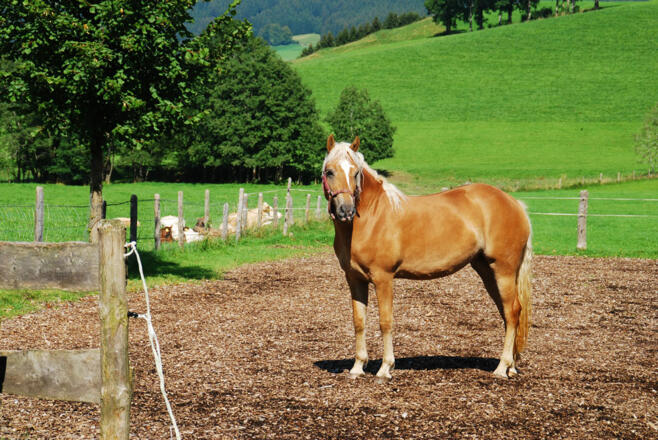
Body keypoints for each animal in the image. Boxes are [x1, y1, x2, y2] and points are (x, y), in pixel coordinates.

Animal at [322, 134, 532, 380]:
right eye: (329, 172)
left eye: (355, 173)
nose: (346, 211)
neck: (372, 218)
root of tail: (515, 204)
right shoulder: (355, 279)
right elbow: (359, 322)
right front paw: (357, 367)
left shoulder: (383, 278)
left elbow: (385, 321)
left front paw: (385, 368)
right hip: (488, 271)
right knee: (508, 313)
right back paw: (511, 367)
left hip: (503, 270)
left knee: (512, 312)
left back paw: (501, 368)